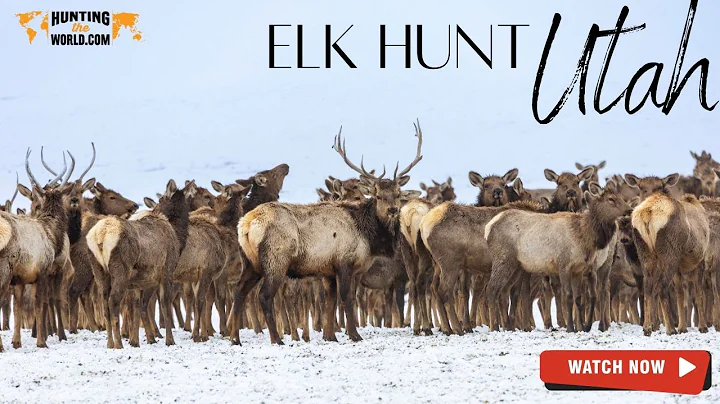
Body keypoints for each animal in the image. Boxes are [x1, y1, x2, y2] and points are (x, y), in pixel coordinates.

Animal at [86, 179, 194, 348]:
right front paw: (169, 340)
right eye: (161, 199)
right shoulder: (166, 271)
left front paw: (140, 340)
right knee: (113, 302)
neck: (178, 238)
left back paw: (110, 343)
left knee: (105, 303)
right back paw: (118, 344)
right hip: (120, 270)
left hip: (99, 270)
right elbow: (164, 304)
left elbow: (138, 305)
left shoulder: (141, 281)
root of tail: (100, 234)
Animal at [232, 120, 423, 345]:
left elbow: (330, 302)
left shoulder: (328, 270)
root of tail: (246, 224)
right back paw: (276, 339)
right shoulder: (344, 263)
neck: (369, 238)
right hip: (275, 259)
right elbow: (346, 299)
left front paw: (330, 336)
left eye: (398, 194)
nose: (393, 210)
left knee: (239, 292)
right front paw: (354, 334)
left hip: (250, 262)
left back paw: (235, 338)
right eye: (377, 195)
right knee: (264, 296)